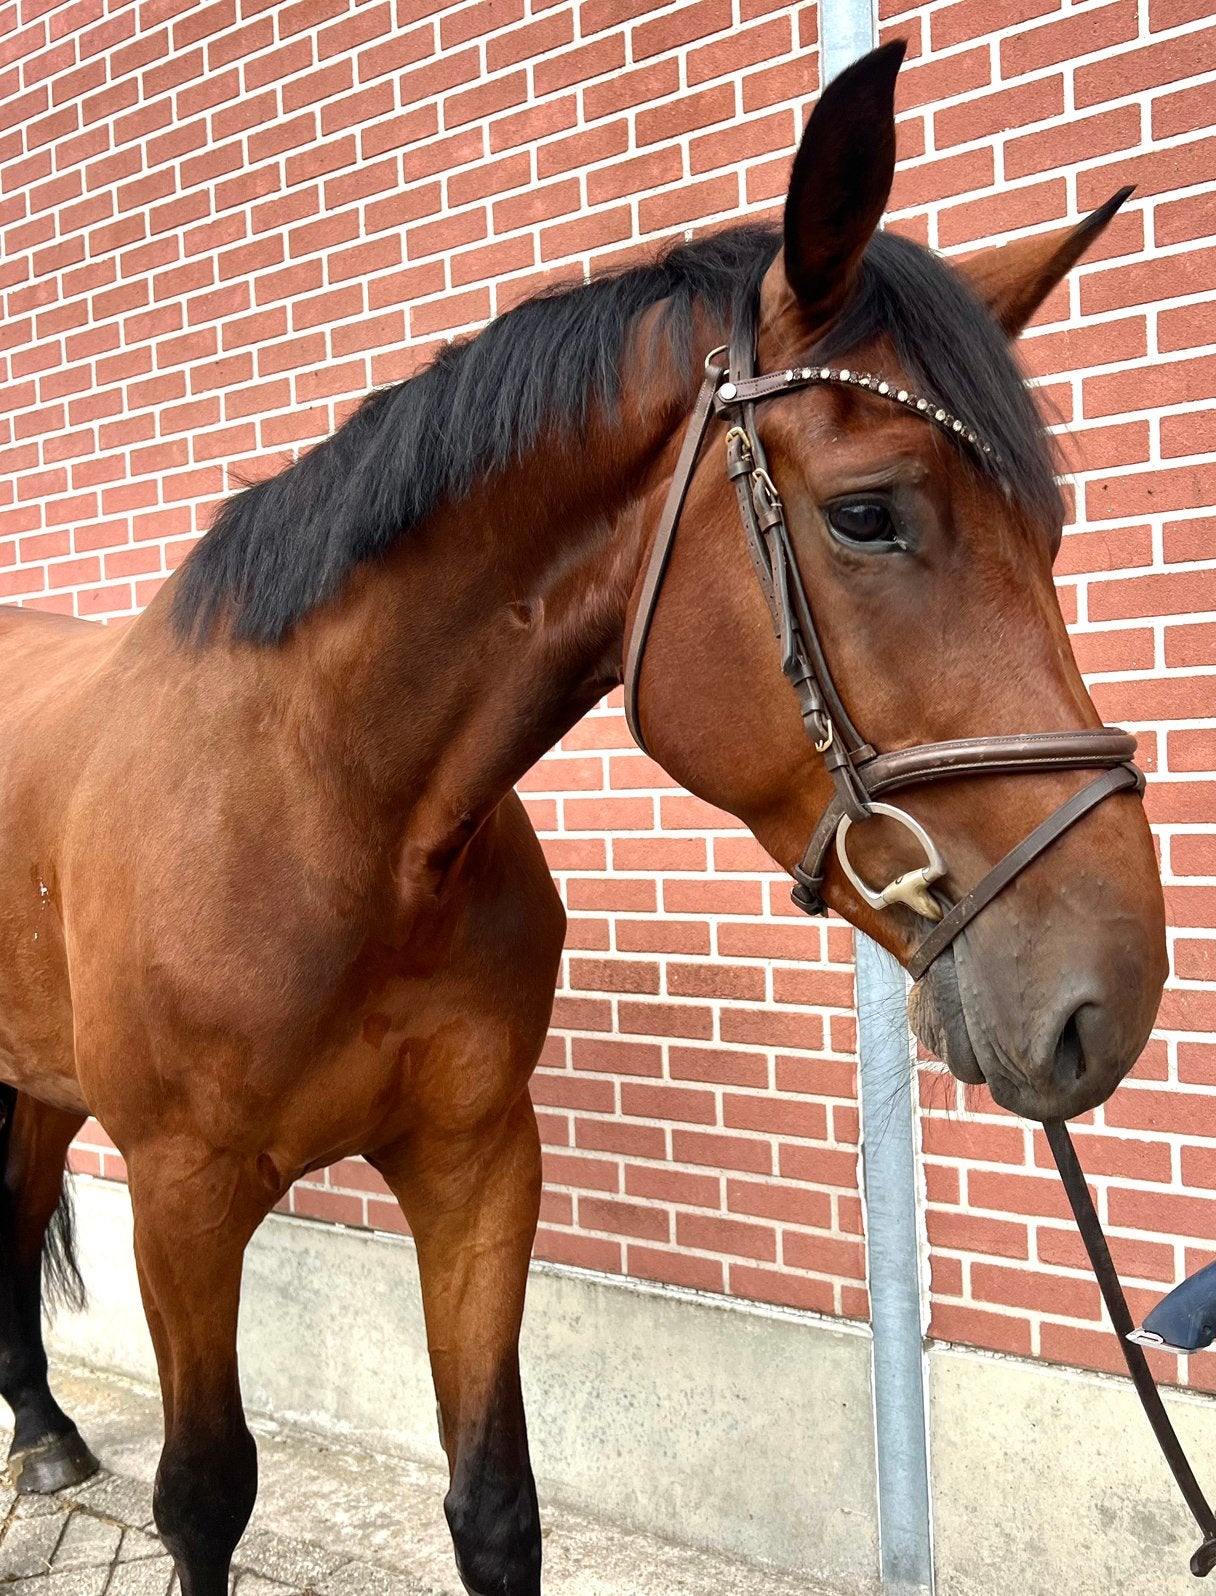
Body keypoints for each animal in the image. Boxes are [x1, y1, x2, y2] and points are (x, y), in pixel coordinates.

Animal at [0, 40, 1167, 1596]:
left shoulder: (479, 1162)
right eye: (868, 515)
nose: (1114, 995)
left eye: (1051, 534)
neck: (333, 817)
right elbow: (204, 1499)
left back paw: (43, 1430)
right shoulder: (183, 1198)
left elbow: (495, 1503)